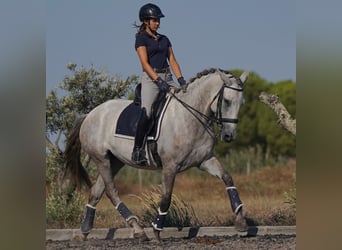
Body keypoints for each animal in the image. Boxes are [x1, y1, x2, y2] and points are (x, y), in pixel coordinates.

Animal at [64, 68, 250, 242]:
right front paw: (157, 230)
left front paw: (240, 222)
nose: (229, 136)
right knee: (111, 191)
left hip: (115, 161)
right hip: (101, 159)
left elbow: (228, 178)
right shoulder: (170, 166)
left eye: (241, 103)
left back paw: (85, 232)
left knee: (97, 191)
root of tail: (90, 114)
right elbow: (166, 197)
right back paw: (138, 229)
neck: (190, 117)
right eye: (227, 101)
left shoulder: (204, 160)